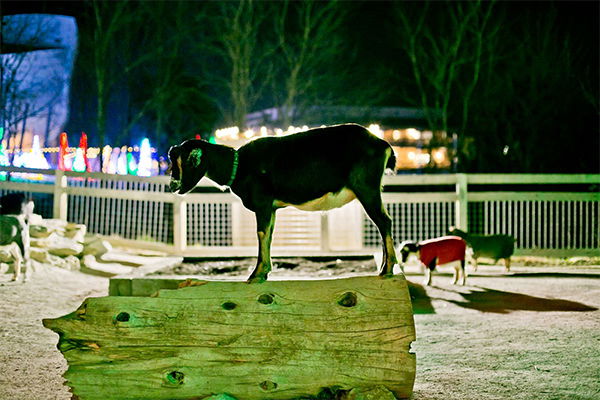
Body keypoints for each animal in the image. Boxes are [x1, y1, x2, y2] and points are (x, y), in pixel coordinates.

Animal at [169, 123, 398, 282]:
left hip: (366, 188)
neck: (240, 165)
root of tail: (383, 144)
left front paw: (256, 275)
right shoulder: (271, 208)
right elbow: (269, 235)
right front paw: (264, 272)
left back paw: (387, 269)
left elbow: (261, 234)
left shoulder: (262, 203)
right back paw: (384, 268)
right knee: (382, 222)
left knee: (383, 221)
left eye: (185, 162)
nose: (172, 185)